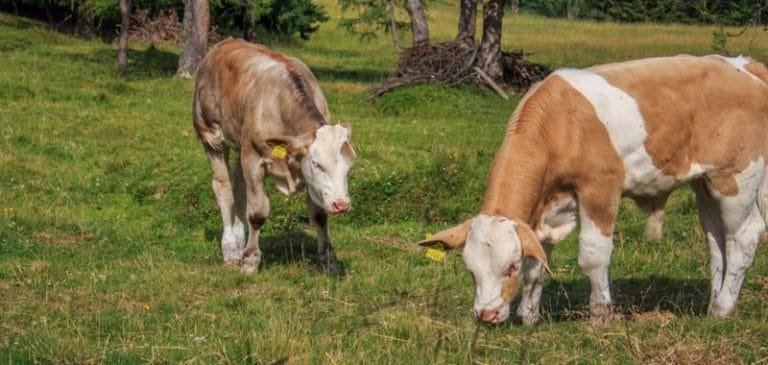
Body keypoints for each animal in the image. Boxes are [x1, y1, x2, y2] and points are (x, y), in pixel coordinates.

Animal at [195, 39, 356, 272]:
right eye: (317, 164)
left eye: (349, 167)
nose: (341, 204)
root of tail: (223, 44)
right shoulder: (253, 159)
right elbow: (257, 213)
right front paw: (250, 261)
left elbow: (319, 215)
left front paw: (329, 260)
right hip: (212, 137)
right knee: (223, 187)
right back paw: (232, 251)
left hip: (239, 145)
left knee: (238, 184)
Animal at [420, 54, 768, 324]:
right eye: (470, 269)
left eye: (510, 266)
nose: (486, 315)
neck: (561, 124)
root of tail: (744, 65)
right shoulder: (546, 212)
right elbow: (538, 263)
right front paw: (529, 316)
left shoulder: (600, 189)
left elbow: (592, 257)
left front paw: (601, 317)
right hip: (705, 184)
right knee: (717, 243)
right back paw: (712, 305)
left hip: (736, 177)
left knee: (743, 237)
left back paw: (724, 309)